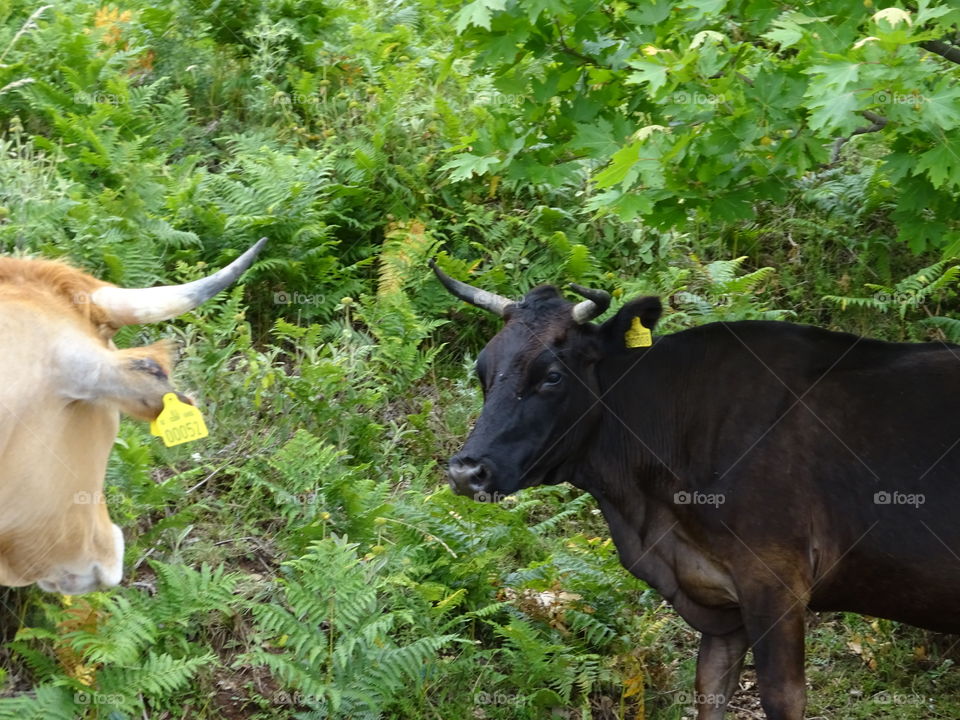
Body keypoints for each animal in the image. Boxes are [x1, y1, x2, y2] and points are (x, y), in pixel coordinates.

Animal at [431, 260, 960, 720]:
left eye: (552, 376)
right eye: (482, 372)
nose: (466, 472)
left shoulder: (775, 579)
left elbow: (782, 698)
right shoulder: (721, 603)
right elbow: (708, 691)